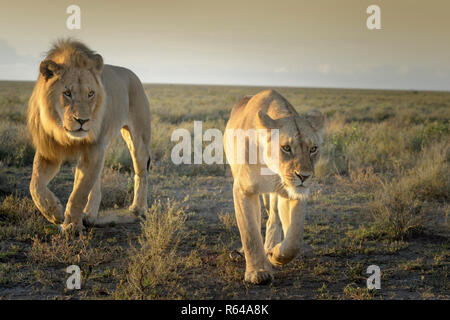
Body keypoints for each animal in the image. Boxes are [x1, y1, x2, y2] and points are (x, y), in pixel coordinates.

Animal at [28, 39, 151, 232]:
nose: (83, 120)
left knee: (141, 171)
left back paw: (138, 209)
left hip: (138, 138)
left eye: (91, 94)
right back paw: (89, 216)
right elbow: (35, 185)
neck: (63, 132)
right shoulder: (50, 150)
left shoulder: (93, 149)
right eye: (67, 93)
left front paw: (71, 225)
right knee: (96, 179)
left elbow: (79, 192)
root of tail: (132, 74)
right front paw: (54, 213)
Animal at [224, 89, 324, 284]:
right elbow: (250, 232)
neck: (272, 170)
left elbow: (294, 239)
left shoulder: (292, 194)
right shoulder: (243, 190)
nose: (304, 176)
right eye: (286, 148)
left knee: (273, 218)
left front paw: (275, 256)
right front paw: (257, 272)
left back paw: (270, 248)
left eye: (313, 149)